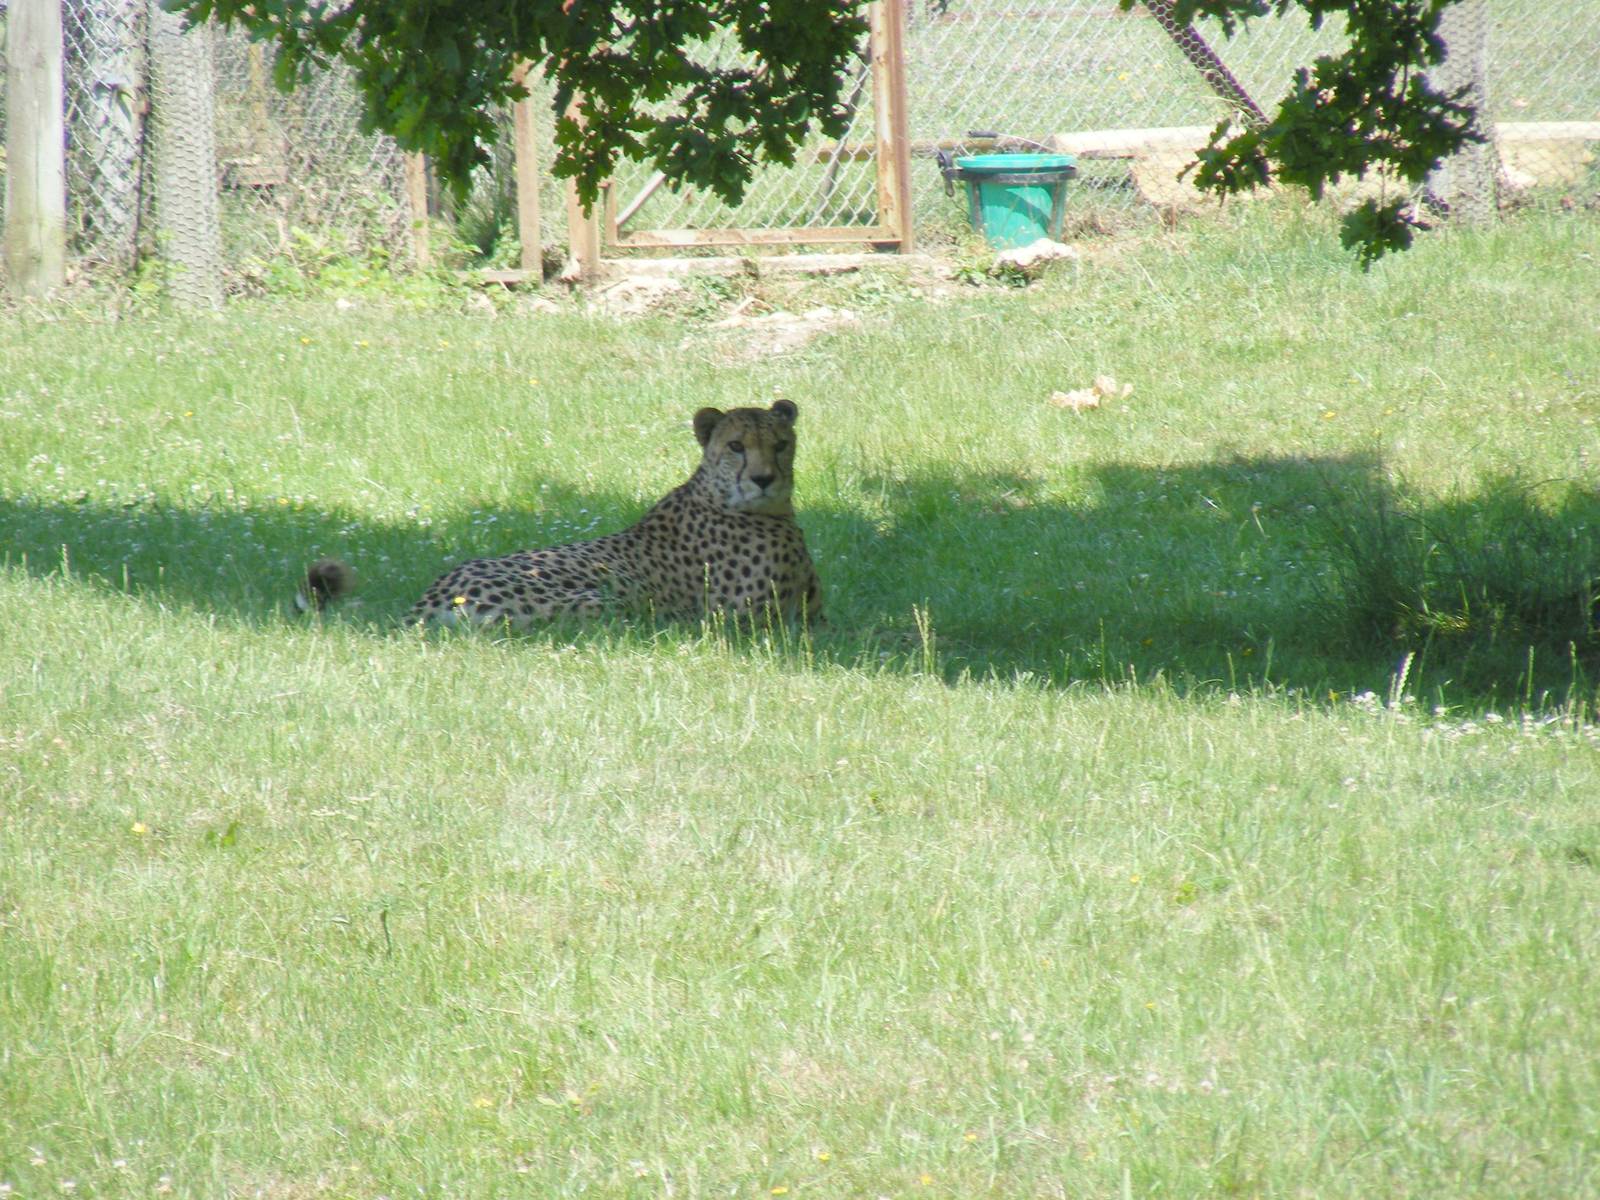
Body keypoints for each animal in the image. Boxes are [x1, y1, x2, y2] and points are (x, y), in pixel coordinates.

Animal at [302, 400, 821, 628]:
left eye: (781, 444)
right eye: (736, 446)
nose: (763, 479)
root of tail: (425, 601)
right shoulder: (743, 621)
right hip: (607, 598)